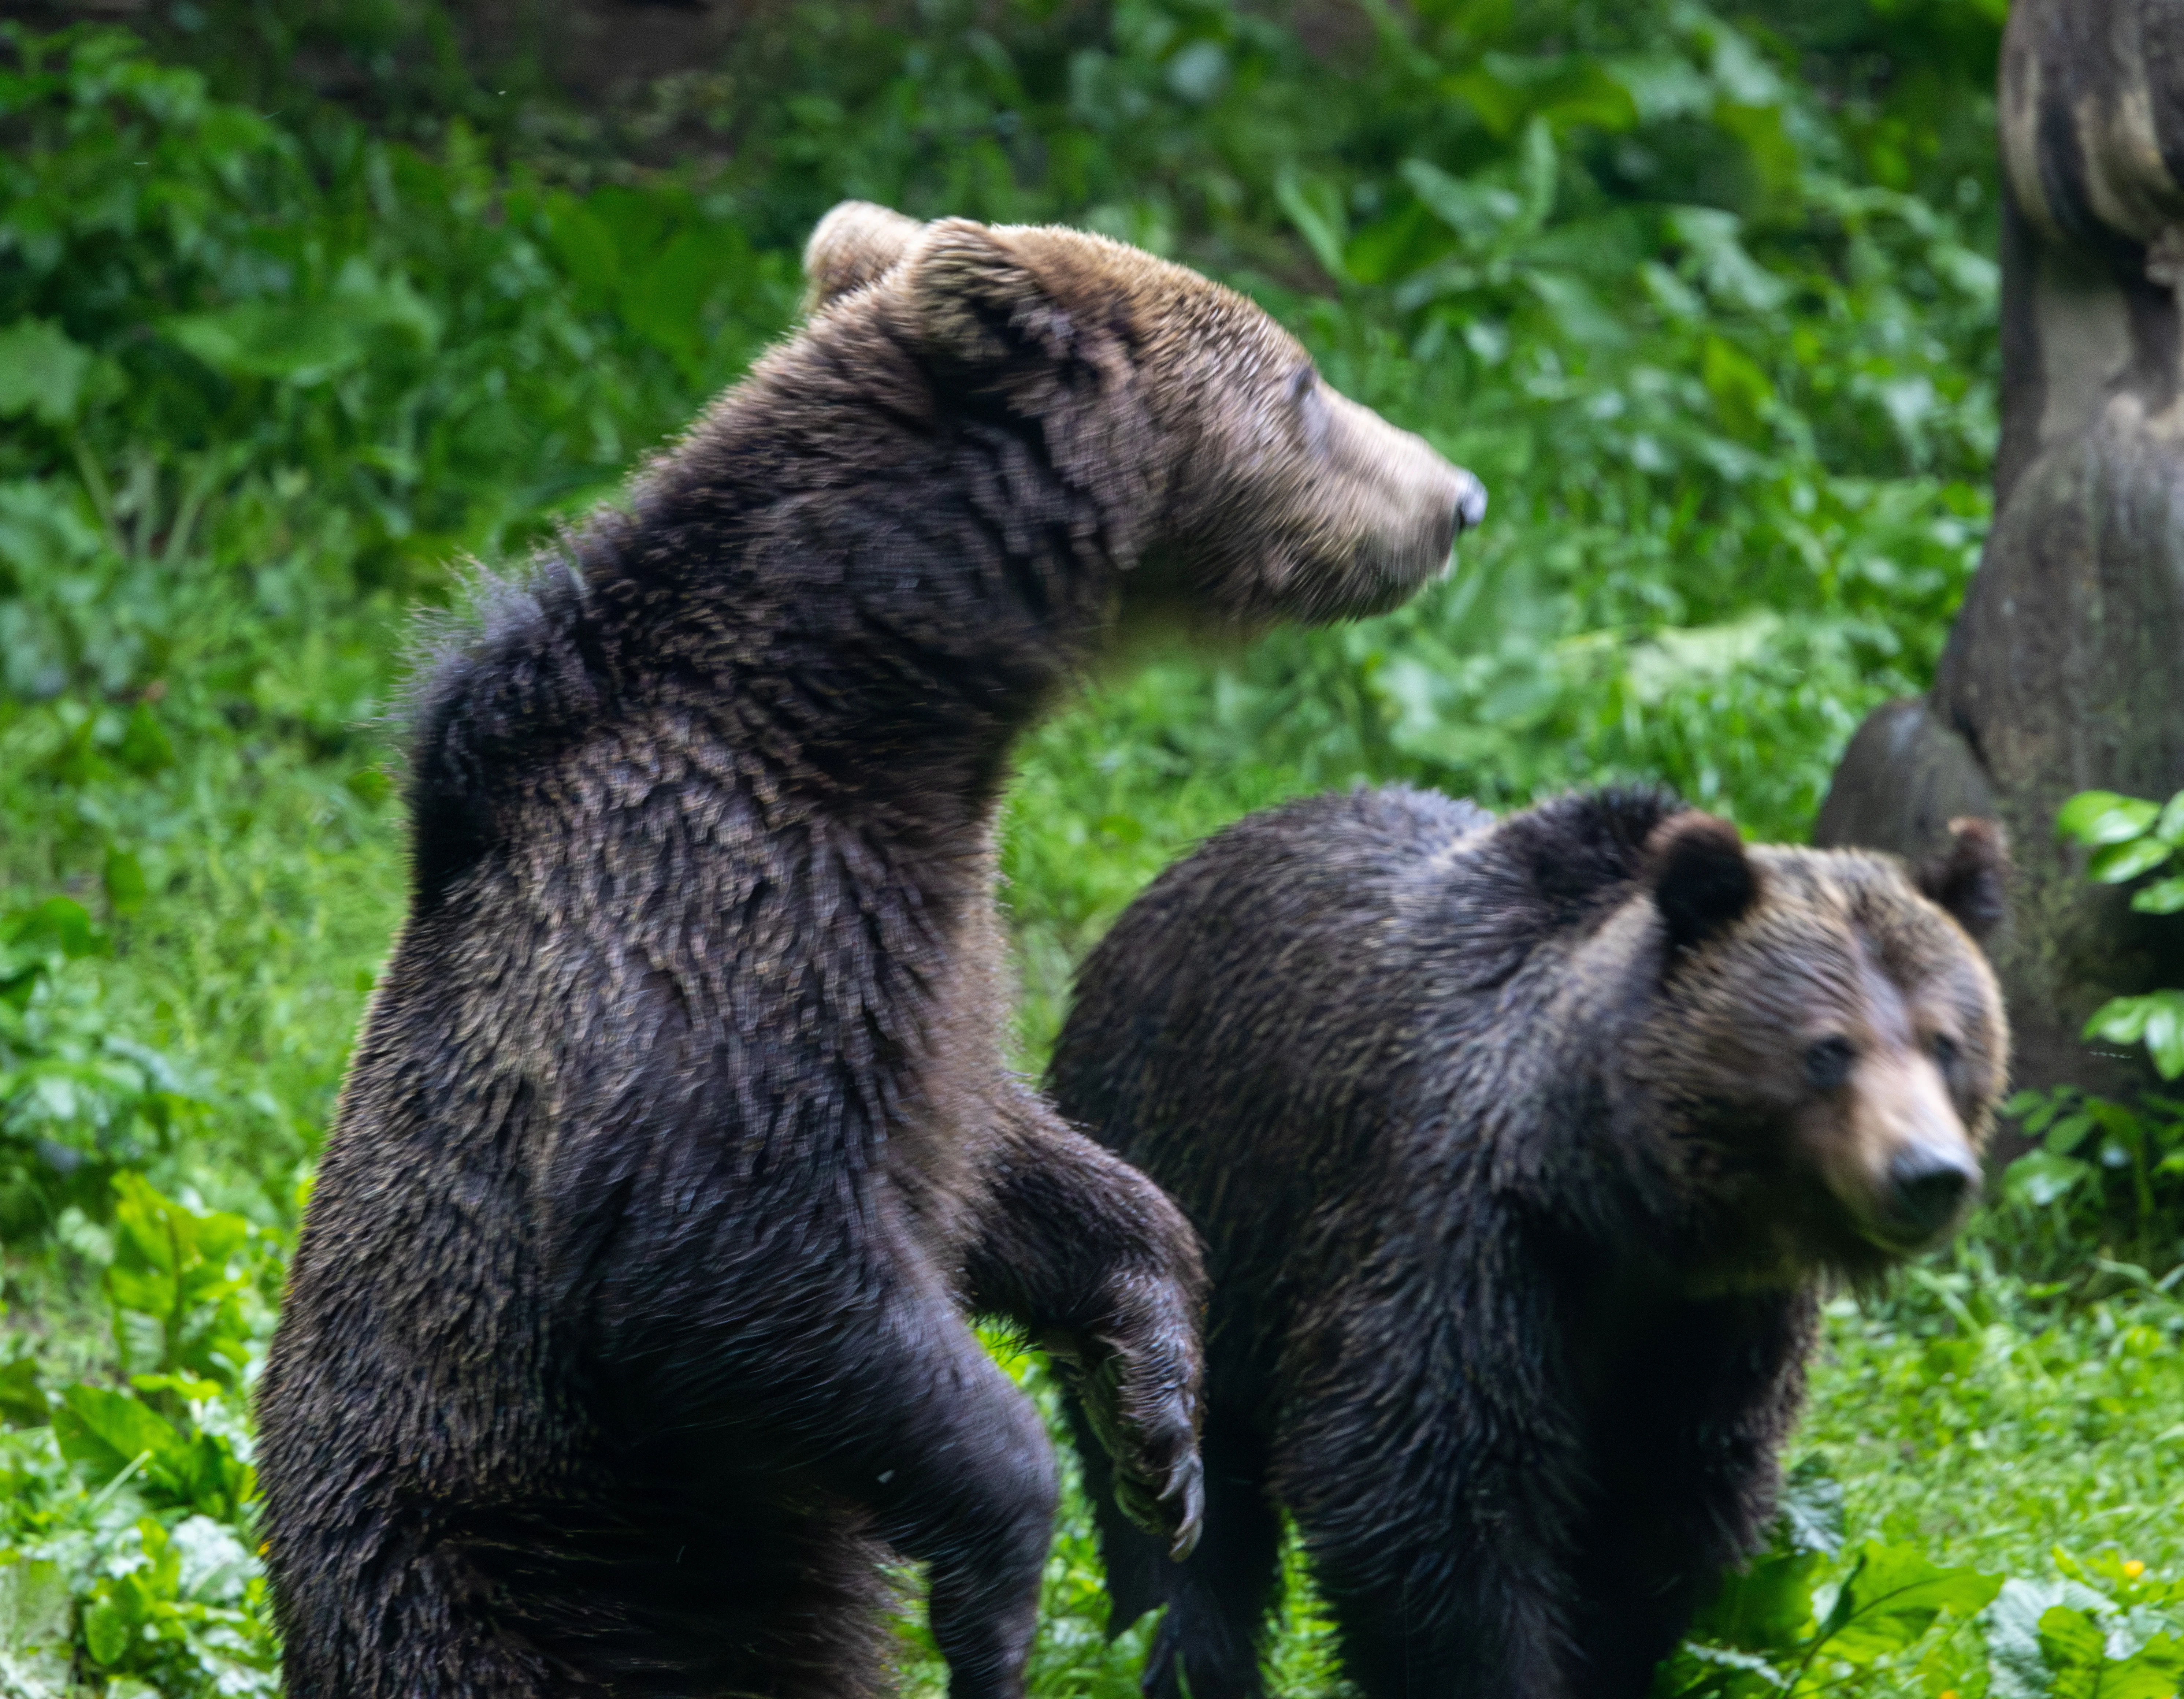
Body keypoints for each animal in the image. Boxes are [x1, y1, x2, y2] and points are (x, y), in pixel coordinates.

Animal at [253, 203, 1486, 1699]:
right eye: (1304, 383)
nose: (1458, 499)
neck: (867, 720)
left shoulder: (937, 961)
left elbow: (1027, 1165)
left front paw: (1155, 1417)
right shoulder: (720, 918)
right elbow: (724, 1250)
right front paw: (1002, 1581)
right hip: (521, 1575)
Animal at [1048, 784, 2009, 1699]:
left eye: (1946, 1040)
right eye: (1829, 1048)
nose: (1928, 1172)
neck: (1614, 1203)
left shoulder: (1718, 1324)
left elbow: (1661, 1513)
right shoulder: (1463, 1239)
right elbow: (1425, 1492)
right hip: (1184, 1179)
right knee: (1177, 1480)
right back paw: (1182, 1643)